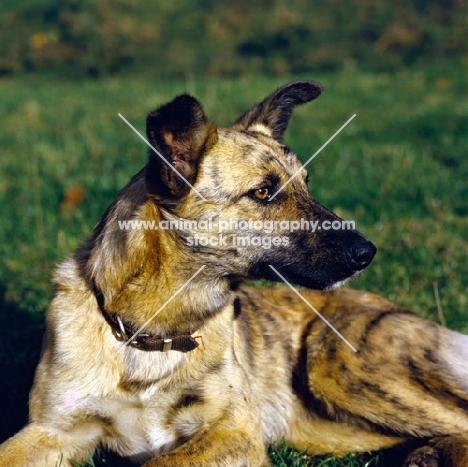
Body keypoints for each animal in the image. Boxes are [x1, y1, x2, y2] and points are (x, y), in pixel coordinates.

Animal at [0, 82, 468, 466]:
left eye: (306, 184)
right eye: (263, 192)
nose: (367, 253)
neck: (155, 331)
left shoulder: (235, 432)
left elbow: (160, 462)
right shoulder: (51, 431)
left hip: (340, 365)